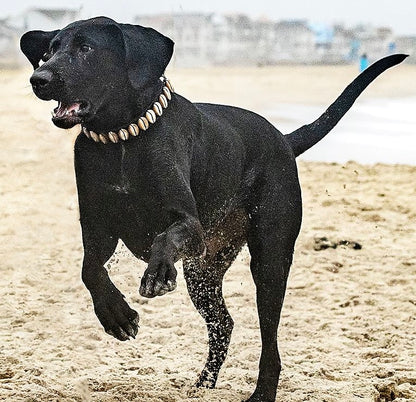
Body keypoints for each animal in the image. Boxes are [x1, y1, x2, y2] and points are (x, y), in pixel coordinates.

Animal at [20, 16, 406, 402]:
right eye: (49, 51)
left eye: (86, 48)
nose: (39, 79)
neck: (122, 140)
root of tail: (283, 140)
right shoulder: (98, 228)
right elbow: (90, 269)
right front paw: (115, 314)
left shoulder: (189, 226)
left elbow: (165, 239)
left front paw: (157, 273)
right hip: (204, 272)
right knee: (224, 323)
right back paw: (204, 383)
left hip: (269, 261)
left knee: (270, 340)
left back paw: (261, 392)